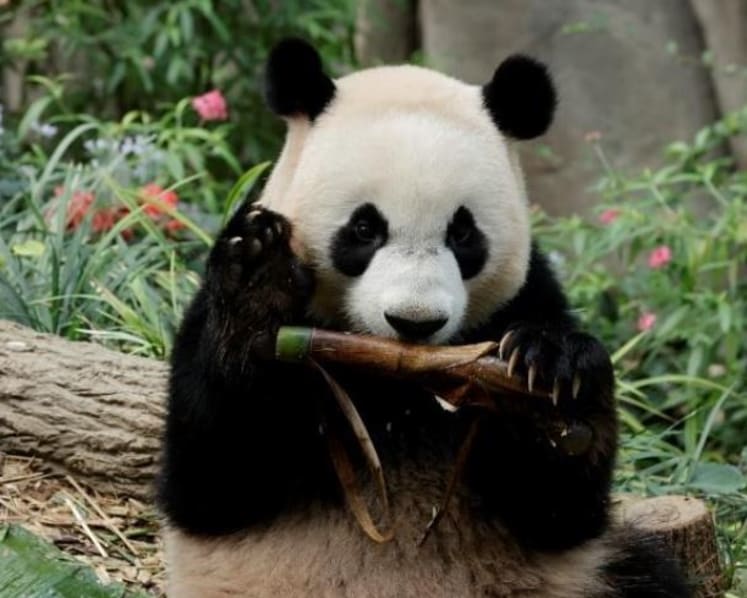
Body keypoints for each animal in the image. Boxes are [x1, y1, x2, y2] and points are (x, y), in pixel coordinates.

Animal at [158, 38, 690, 597]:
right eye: (364, 228)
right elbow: (214, 478)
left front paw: (552, 376)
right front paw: (261, 279)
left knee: (646, 574)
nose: (414, 321)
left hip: (583, 580)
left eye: (463, 233)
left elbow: (561, 509)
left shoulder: (526, 297)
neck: (400, 386)